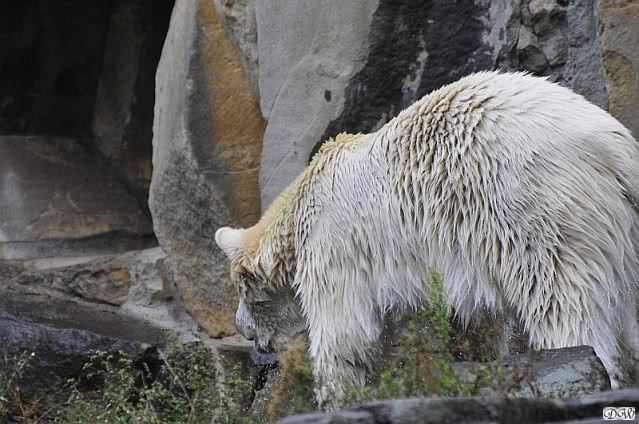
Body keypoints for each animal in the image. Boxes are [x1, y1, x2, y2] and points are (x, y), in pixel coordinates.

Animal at [215, 70, 639, 408]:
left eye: (242, 291)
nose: (244, 330)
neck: (305, 196)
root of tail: (617, 148)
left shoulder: (334, 245)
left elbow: (344, 333)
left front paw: (335, 396)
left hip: (539, 210)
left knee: (559, 300)